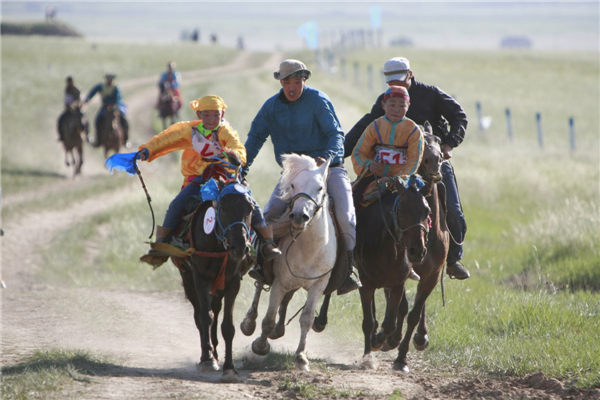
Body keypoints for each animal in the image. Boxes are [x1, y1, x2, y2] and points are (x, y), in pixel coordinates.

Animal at [171, 177, 253, 382]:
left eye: (250, 208)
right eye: (223, 207)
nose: (240, 247)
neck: (218, 245)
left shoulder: (232, 282)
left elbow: (227, 326)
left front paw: (229, 368)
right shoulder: (200, 278)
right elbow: (204, 318)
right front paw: (207, 360)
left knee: (215, 310)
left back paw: (215, 352)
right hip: (189, 280)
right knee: (200, 315)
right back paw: (208, 355)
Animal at [243, 154, 338, 372]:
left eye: (320, 187)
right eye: (293, 185)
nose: (298, 217)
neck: (309, 249)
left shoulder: (318, 286)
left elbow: (307, 319)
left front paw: (301, 357)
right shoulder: (279, 283)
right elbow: (268, 318)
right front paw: (260, 346)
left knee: (286, 301)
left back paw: (278, 331)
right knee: (259, 288)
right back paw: (249, 322)